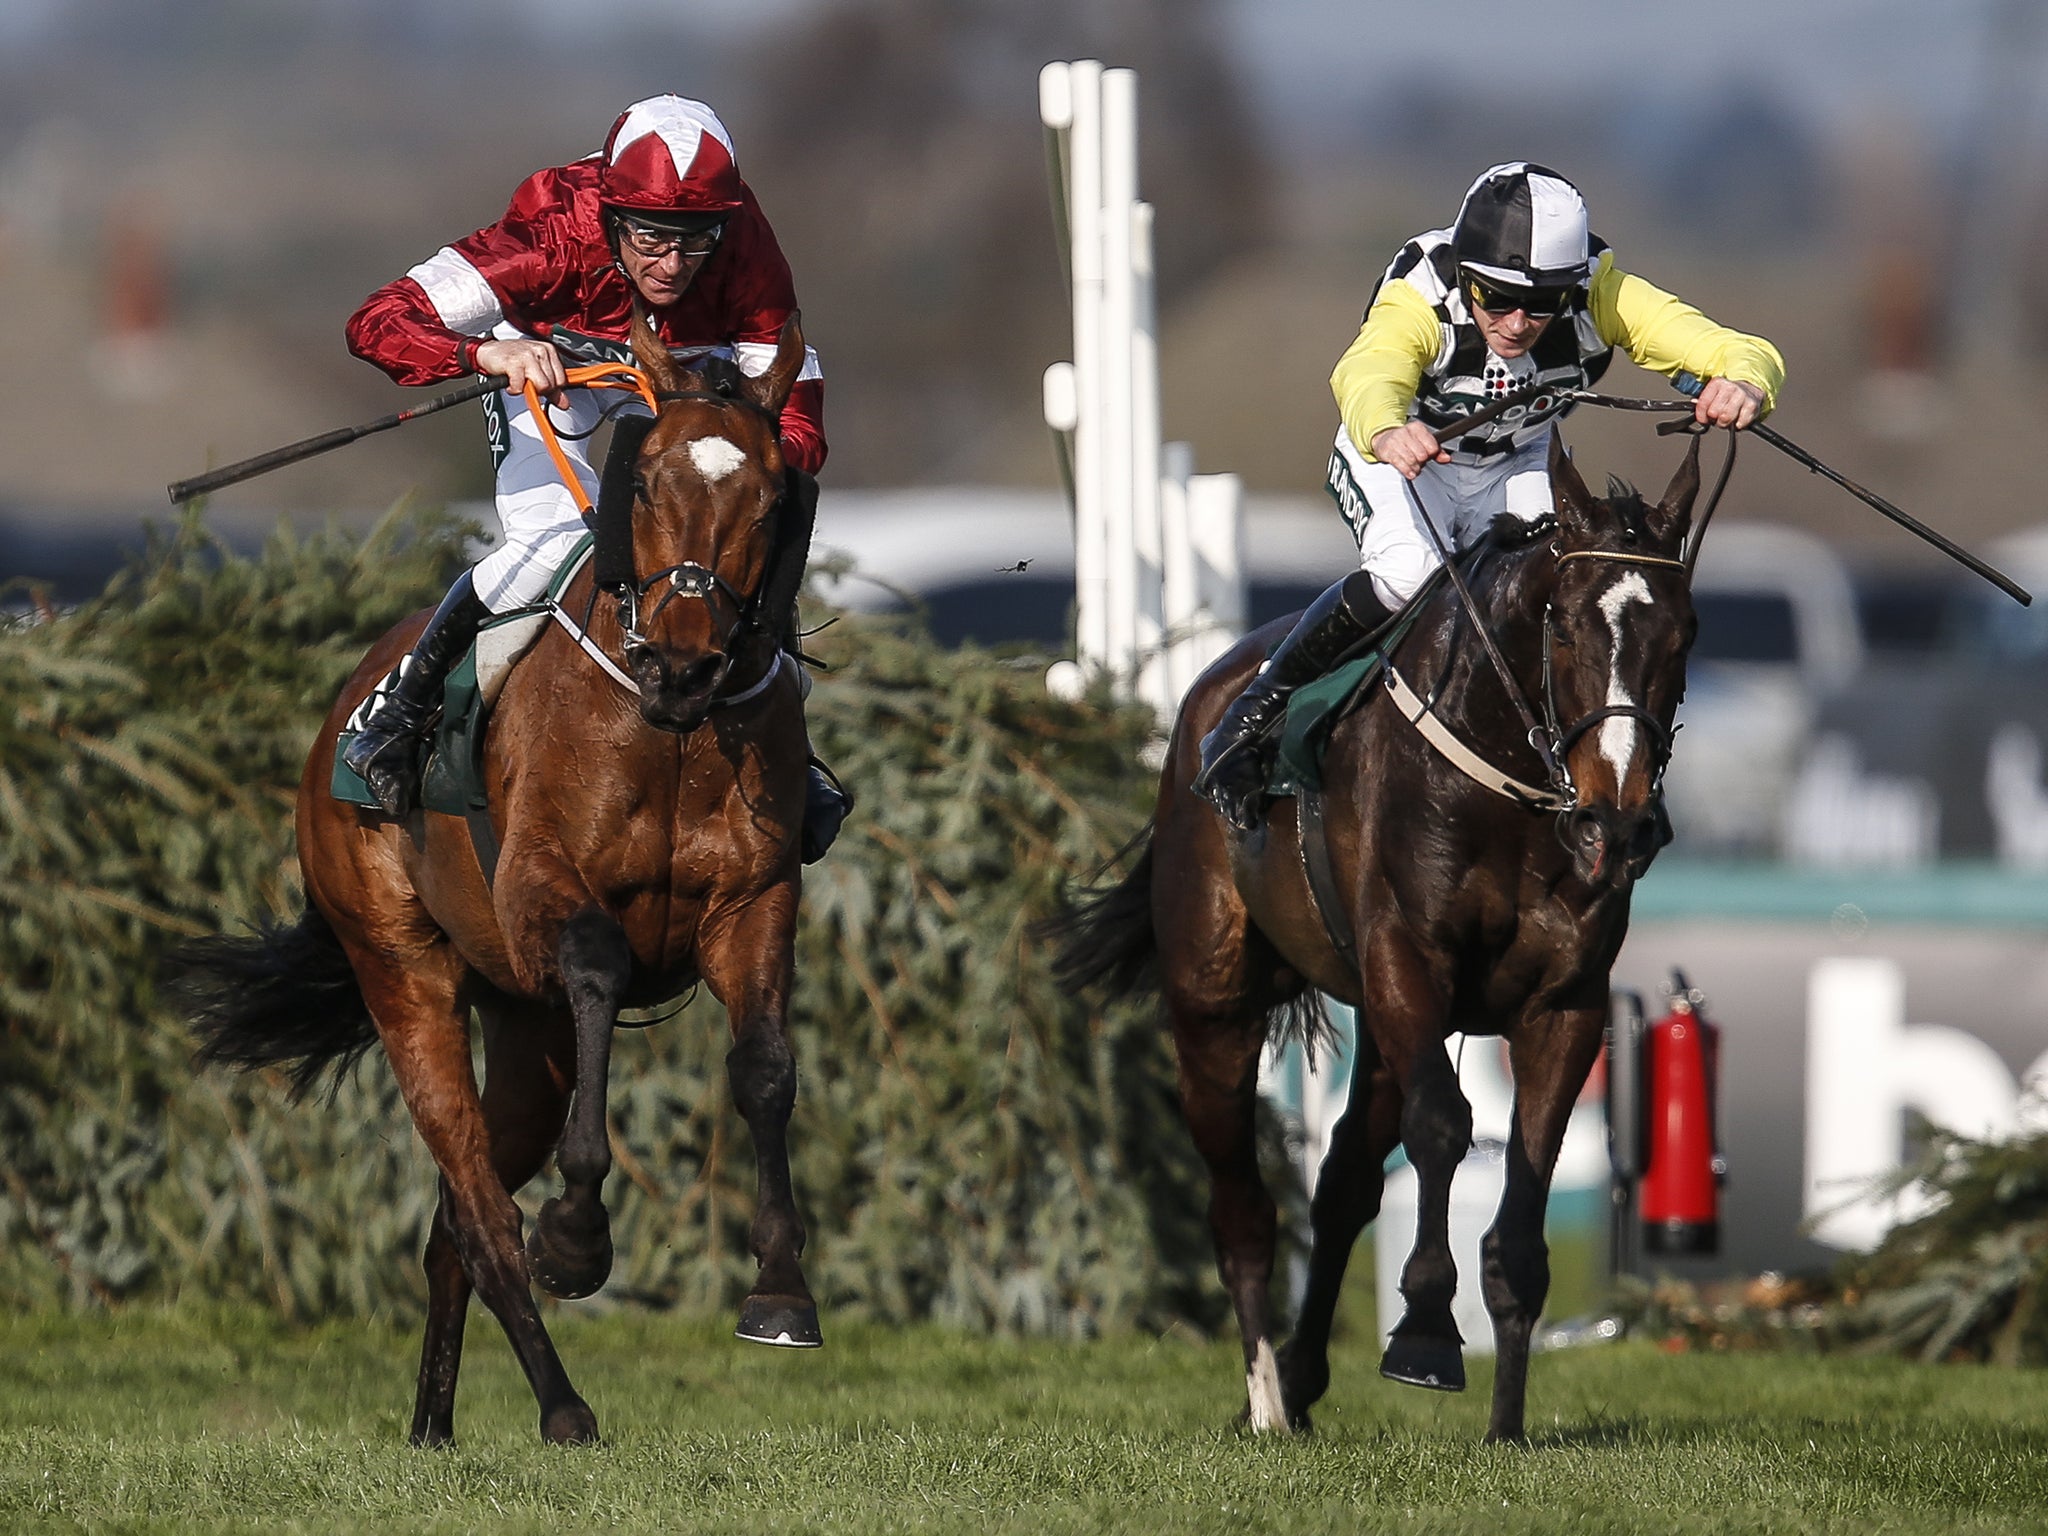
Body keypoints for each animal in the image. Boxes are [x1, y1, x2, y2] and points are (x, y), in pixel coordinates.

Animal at [176, 315, 815, 1458]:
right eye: (646, 482)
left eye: (769, 500)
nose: (685, 667)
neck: (668, 734)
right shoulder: (540, 888)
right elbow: (600, 962)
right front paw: (580, 1232)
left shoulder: (754, 902)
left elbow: (764, 1068)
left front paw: (781, 1291)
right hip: (406, 975)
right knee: (478, 1212)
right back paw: (560, 1402)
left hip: (528, 1031)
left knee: (449, 1228)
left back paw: (434, 1422)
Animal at [1048, 438, 1703, 1449]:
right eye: (1563, 628)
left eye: (1685, 635)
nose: (1619, 824)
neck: (1505, 783)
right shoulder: (1407, 964)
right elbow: (1443, 1129)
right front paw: (1427, 1334)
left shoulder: (1565, 1004)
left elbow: (1523, 1194)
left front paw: (1507, 1422)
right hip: (1214, 1009)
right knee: (1243, 1208)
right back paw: (1267, 1398)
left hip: (1378, 1033)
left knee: (1345, 1178)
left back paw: (1303, 1376)